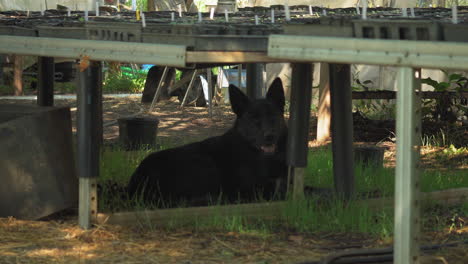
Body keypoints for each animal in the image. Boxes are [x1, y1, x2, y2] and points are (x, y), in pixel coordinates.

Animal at [128, 77, 288, 205]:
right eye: (254, 120)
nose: (269, 136)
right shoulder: (250, 188)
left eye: (273, 117)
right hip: (204, 162)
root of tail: (133, 186)